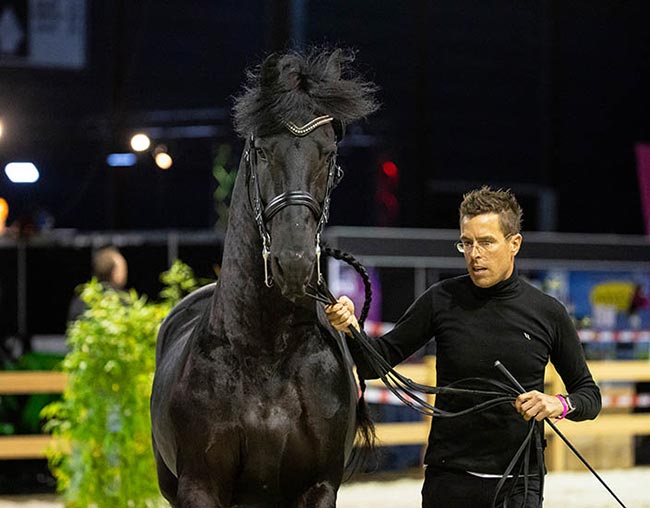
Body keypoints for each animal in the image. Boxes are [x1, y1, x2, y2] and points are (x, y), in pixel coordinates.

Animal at [150, 48, 379, 508]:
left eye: (329, 153)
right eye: (261, 150)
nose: (294, 262)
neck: (267, 353)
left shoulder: (319, 486)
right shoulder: (200, 485)